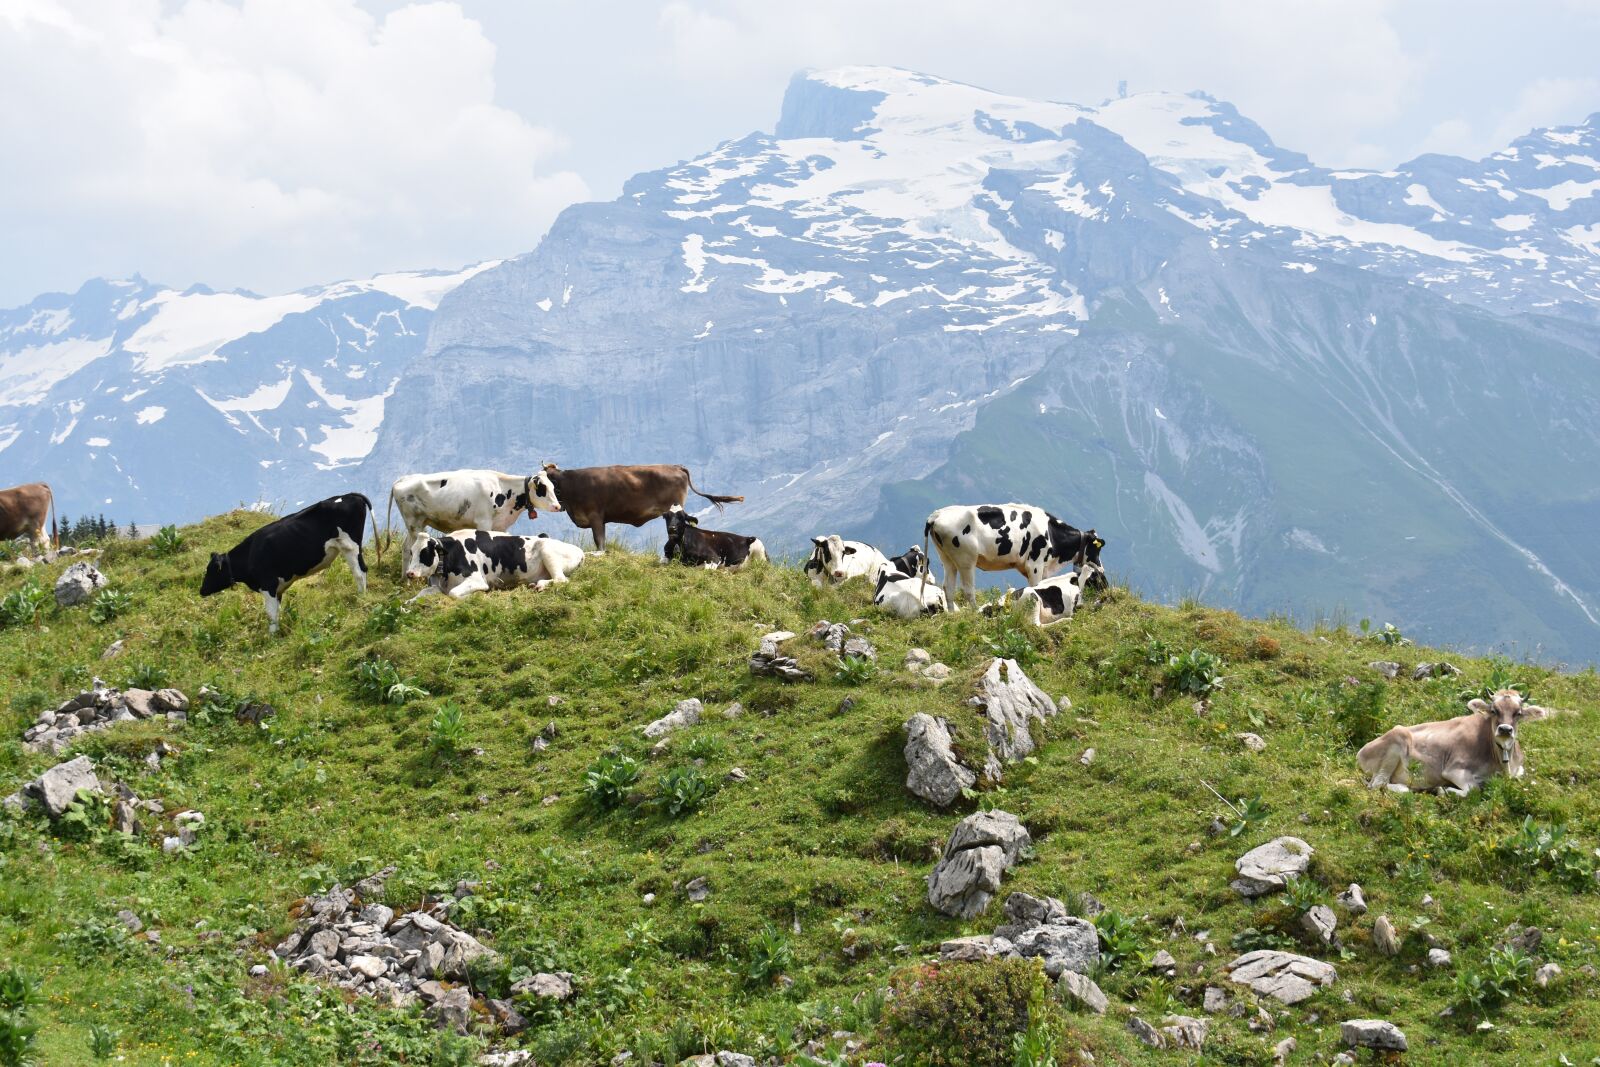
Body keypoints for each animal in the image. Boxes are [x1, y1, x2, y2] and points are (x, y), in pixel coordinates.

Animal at [200, 493, 378, 634]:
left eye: (211, 570)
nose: (201, 590)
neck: (250, 555)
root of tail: (349, 495)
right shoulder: (277, 589)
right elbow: (277, 611)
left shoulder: (268, 585)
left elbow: (271, 614)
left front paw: (272, 636)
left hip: (350, 545)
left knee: (359, 572)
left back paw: (361, 597)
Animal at [388, 469, 562, 574]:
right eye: (542, 488)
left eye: (553, 487)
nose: (557, 506)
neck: (503, 489)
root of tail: (402, 479)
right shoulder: (484, 522)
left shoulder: (501, 526)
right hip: (414, 523)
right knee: (411, 548)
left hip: (419, 523)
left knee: (405, 547)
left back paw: (404, 579)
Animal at [405, 529, 585, 600]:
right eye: (411, 552)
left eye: (425, 553)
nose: (409, 573)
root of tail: (580, 551)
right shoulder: (438, 587)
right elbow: (420, 594)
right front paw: (409, 602)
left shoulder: (477, 580)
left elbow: (454, 593)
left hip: (547, 550)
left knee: (561, 579)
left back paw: (540, 585)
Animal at [922, 503, 1104, 608]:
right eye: (1097, 549)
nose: (1101, 570)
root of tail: (937, 515)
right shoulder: (1035, 565)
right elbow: (1036, 587)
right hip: (966, 559)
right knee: (968, 590)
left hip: (947, 559)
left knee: (948, 588)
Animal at [1357, 689, 1554, 795]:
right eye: (1494, 710)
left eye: (1518, 713)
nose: (1505, 729)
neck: (1501, 763)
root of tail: (1361, 752)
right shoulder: (1454, 769)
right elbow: (1473, 789)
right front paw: (1444, 790)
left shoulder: (1518, 770)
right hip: (1398, 738)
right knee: (1377, 784)